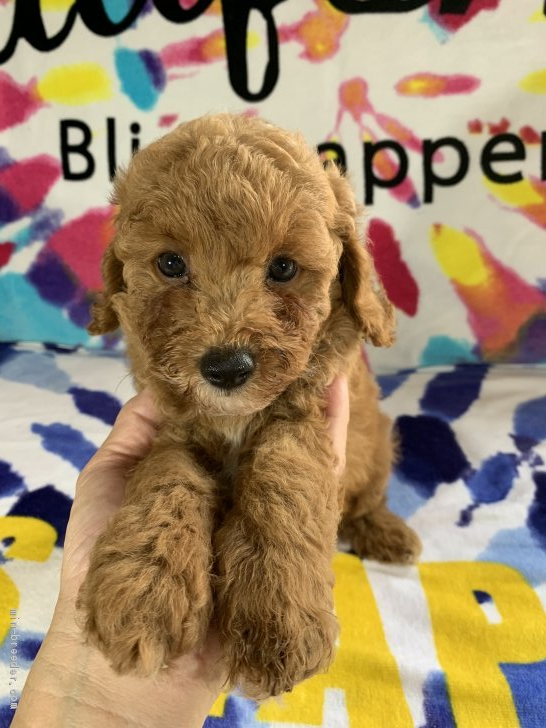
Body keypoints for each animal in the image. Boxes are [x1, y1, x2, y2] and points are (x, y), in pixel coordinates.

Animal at [77, 113, 421, 699]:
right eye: (171, 263)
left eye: (282, 268)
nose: (226, 368)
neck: (234, 415)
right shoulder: (176, 427)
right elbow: (167, 476)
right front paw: (143, 586)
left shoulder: (306, 417)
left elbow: (285, 479)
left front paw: (279, 614)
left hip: (378, 448)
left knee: (368, 499)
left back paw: (386, 533)